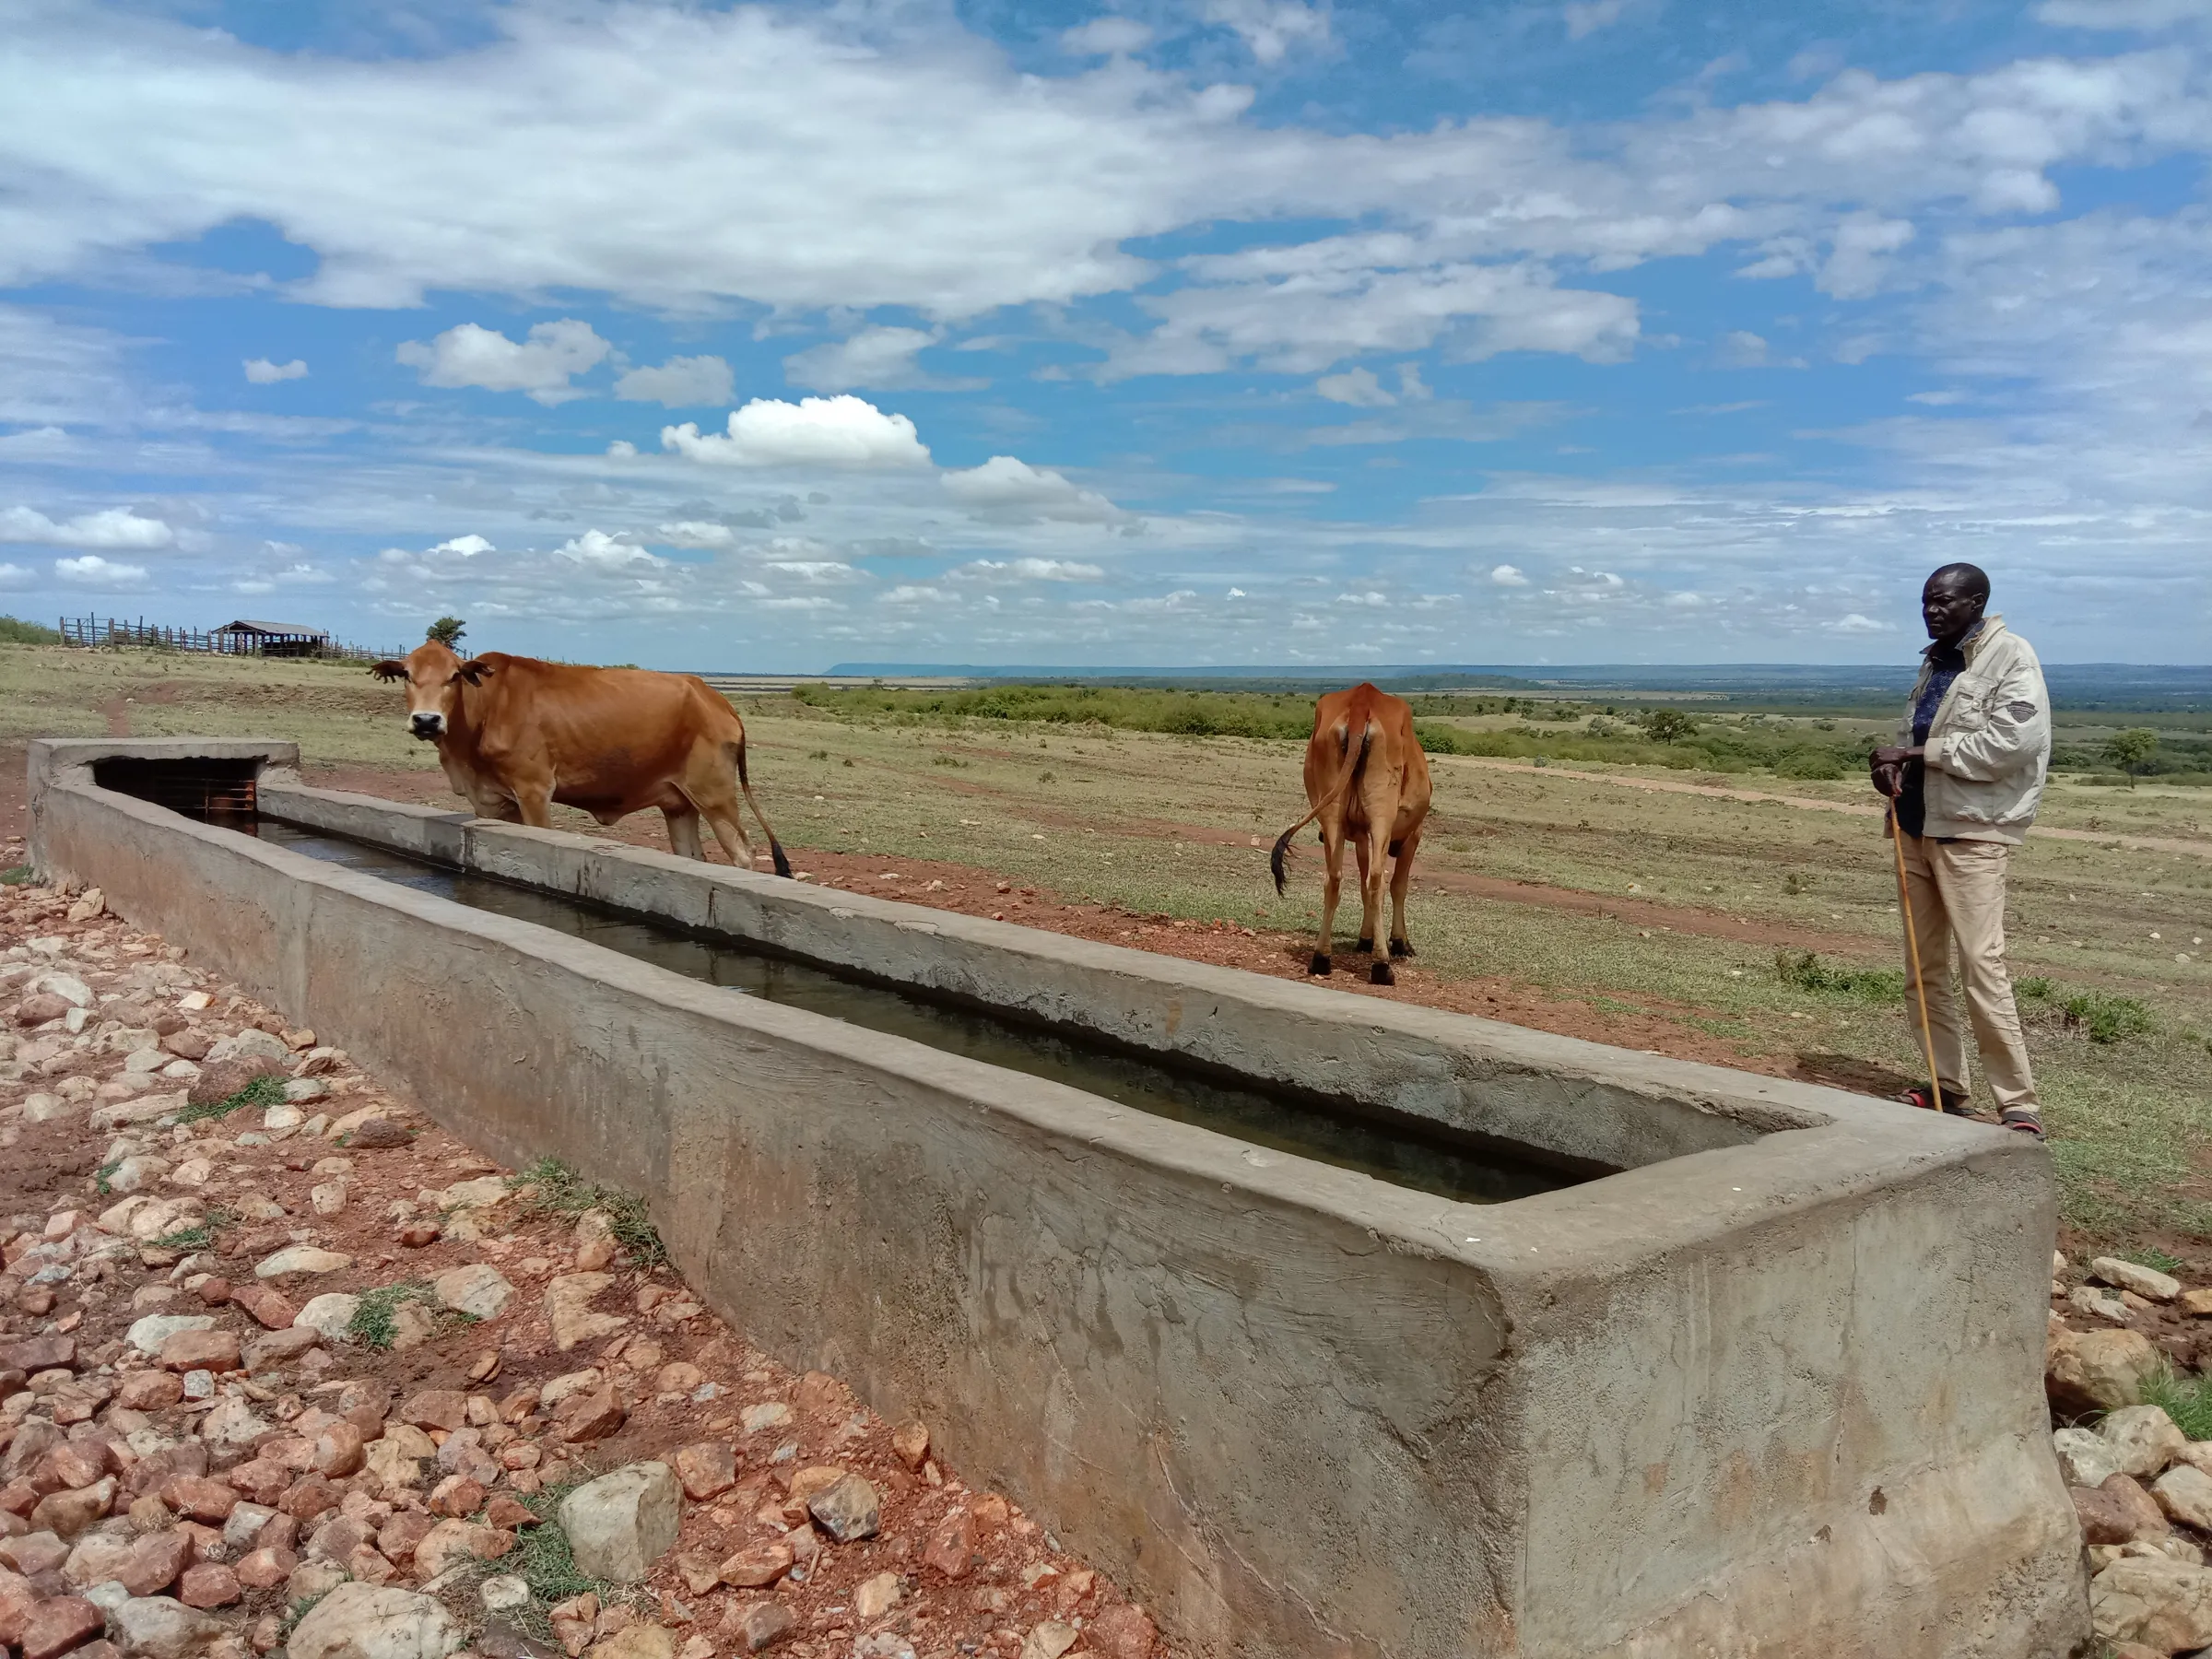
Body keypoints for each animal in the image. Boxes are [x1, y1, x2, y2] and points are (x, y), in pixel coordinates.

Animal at [373, 637, 796, 876]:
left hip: (715, 796)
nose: (427, 720)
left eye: (454, 676)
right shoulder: (491, 801)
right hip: (679, 804)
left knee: (744, 854)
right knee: (692, 855)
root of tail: (716, 698)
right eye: (408, 675)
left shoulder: (535, 791)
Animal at [1274, 681, 1441, 982]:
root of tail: (1363, 698)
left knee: (1334, 879)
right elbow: (1397, 886)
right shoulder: (1413, 835)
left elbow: (1361, 885)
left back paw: (1321, 958)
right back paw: (1382, 967)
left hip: (1332, 813)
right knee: (1377, 880)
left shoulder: (1363, 838)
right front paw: (1400, 942)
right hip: (1381, 814)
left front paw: (1365, 939)